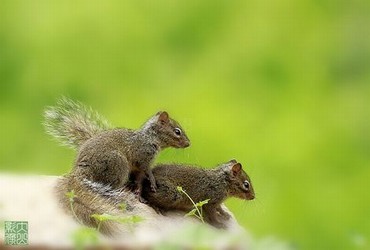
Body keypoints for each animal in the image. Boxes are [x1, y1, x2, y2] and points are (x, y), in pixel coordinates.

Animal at [45, 96, 191, 202]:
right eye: (177, 131)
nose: (188, 144)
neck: (150, 137)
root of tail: (80, 171)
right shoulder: (143, 157)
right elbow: (147, 171)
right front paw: (153, 182)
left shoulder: (138, 168)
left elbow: (139, 179)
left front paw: (139, 192)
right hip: (118, 164)